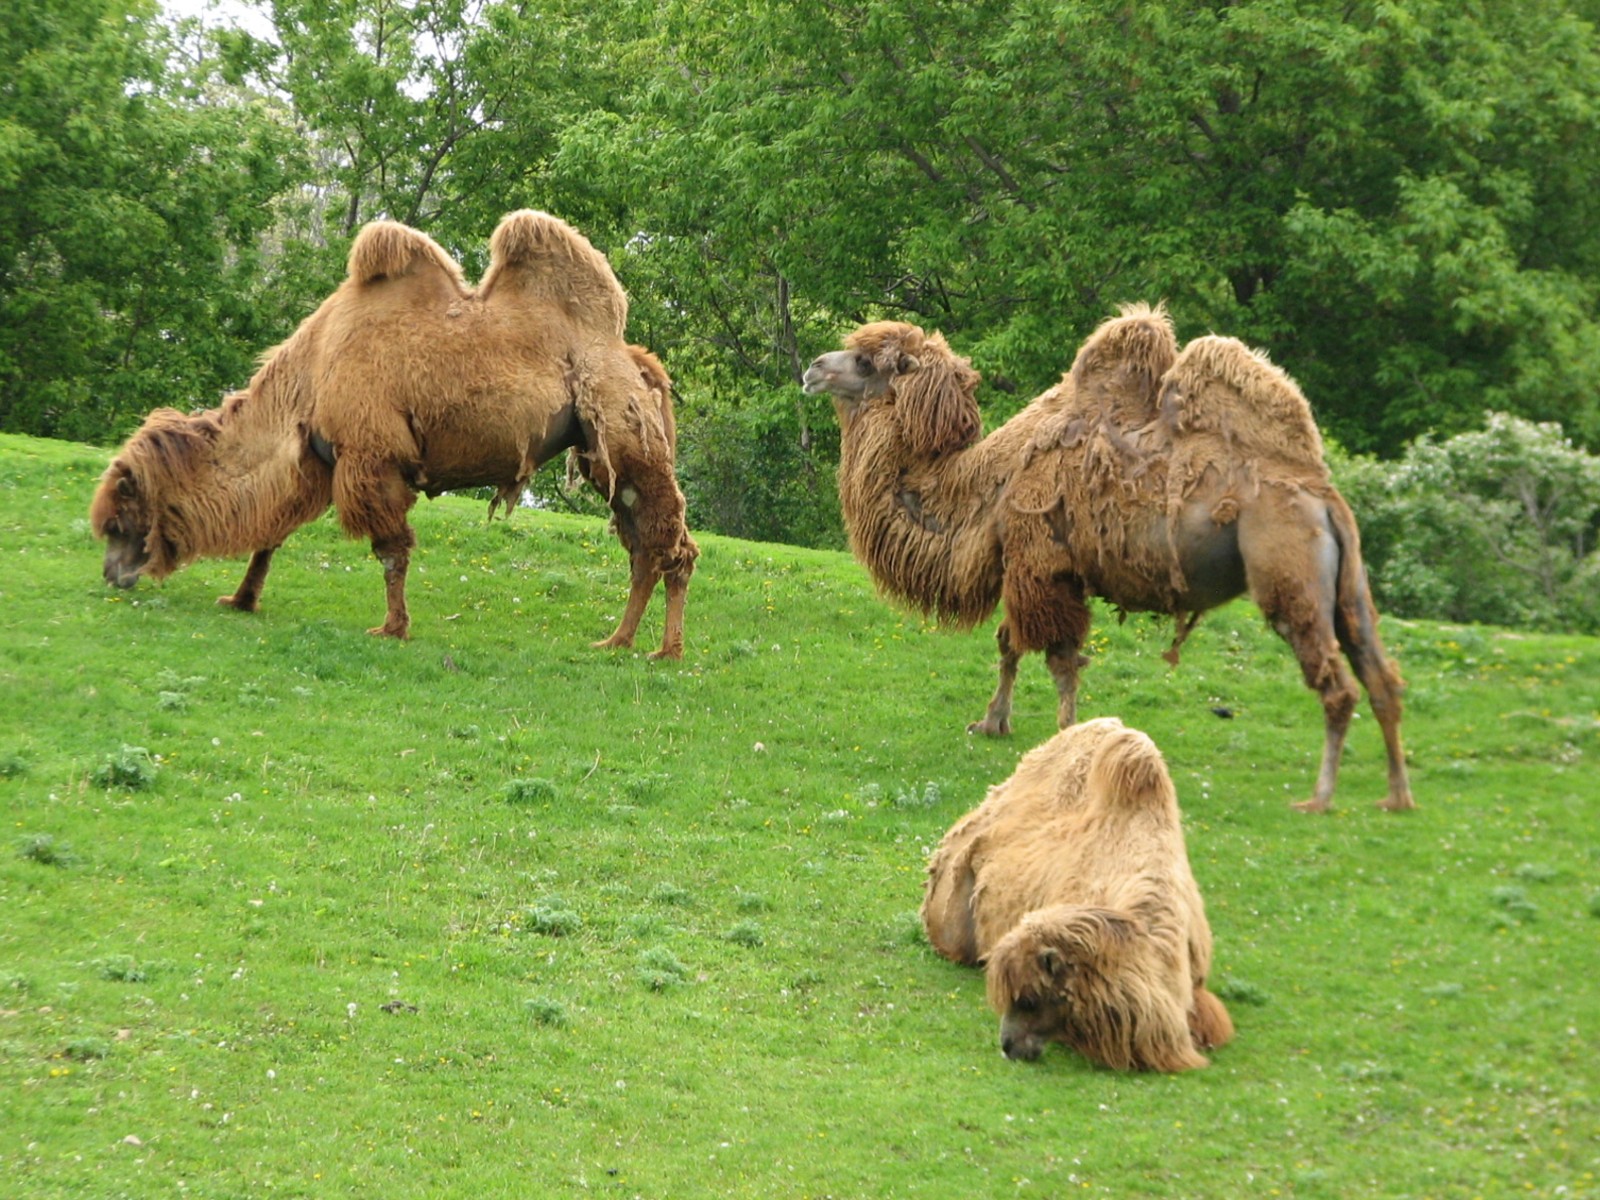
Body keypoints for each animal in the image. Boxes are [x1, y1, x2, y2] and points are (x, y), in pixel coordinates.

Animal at [92, 210, 698, 658]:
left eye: (118, 522)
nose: (113, 575)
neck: (313, 371)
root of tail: (638, 361)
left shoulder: (370, 456)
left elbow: (391, 550)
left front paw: (391, 627)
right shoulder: (318, 462)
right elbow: (272, 537)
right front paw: (240, 599)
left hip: (623, 429)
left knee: (671, 546)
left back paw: (664, 651)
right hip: (601, 451)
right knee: (643, 546)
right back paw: (617, 641)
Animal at [802, 306, 1412, 812]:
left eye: (864, 361)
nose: (811, 368)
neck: (985, 489)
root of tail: (1323, 496)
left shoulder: (1042, 565)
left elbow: (1059, 659)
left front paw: (1063, 740)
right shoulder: (1029, 569)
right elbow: (1010, 645)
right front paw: (991, 722)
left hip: (1291, 574)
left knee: (1338, 684)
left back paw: (1320, 797)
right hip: (1347, 588)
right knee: (1380, 676)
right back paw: (1396, 795)